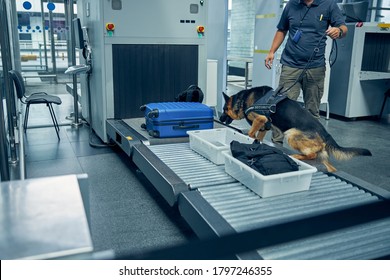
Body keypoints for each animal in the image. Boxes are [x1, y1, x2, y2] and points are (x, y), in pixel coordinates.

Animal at [219, 86, 372, 173]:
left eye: (224, 109)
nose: (219, 118)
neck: (242, 100)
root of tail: (326, 133)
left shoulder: (260, 119)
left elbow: (251, 133)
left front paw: (249, 138)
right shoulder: (264, 125)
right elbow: (258, 137)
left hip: (291, 134)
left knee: (312, 155)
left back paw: (296, 156)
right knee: (326, 164)